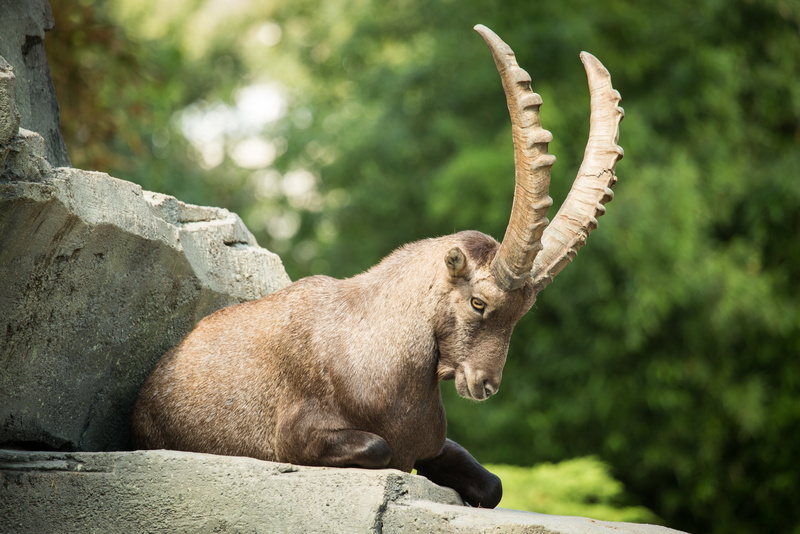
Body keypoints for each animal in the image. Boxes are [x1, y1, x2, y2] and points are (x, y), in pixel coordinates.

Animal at [131, 25, 624, 509]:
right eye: (479, 303)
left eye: (523, 312)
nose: (485, 384)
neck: (378, 347)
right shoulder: (295, 436)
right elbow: (379, 448)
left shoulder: (432, 443)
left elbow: (493, 485)